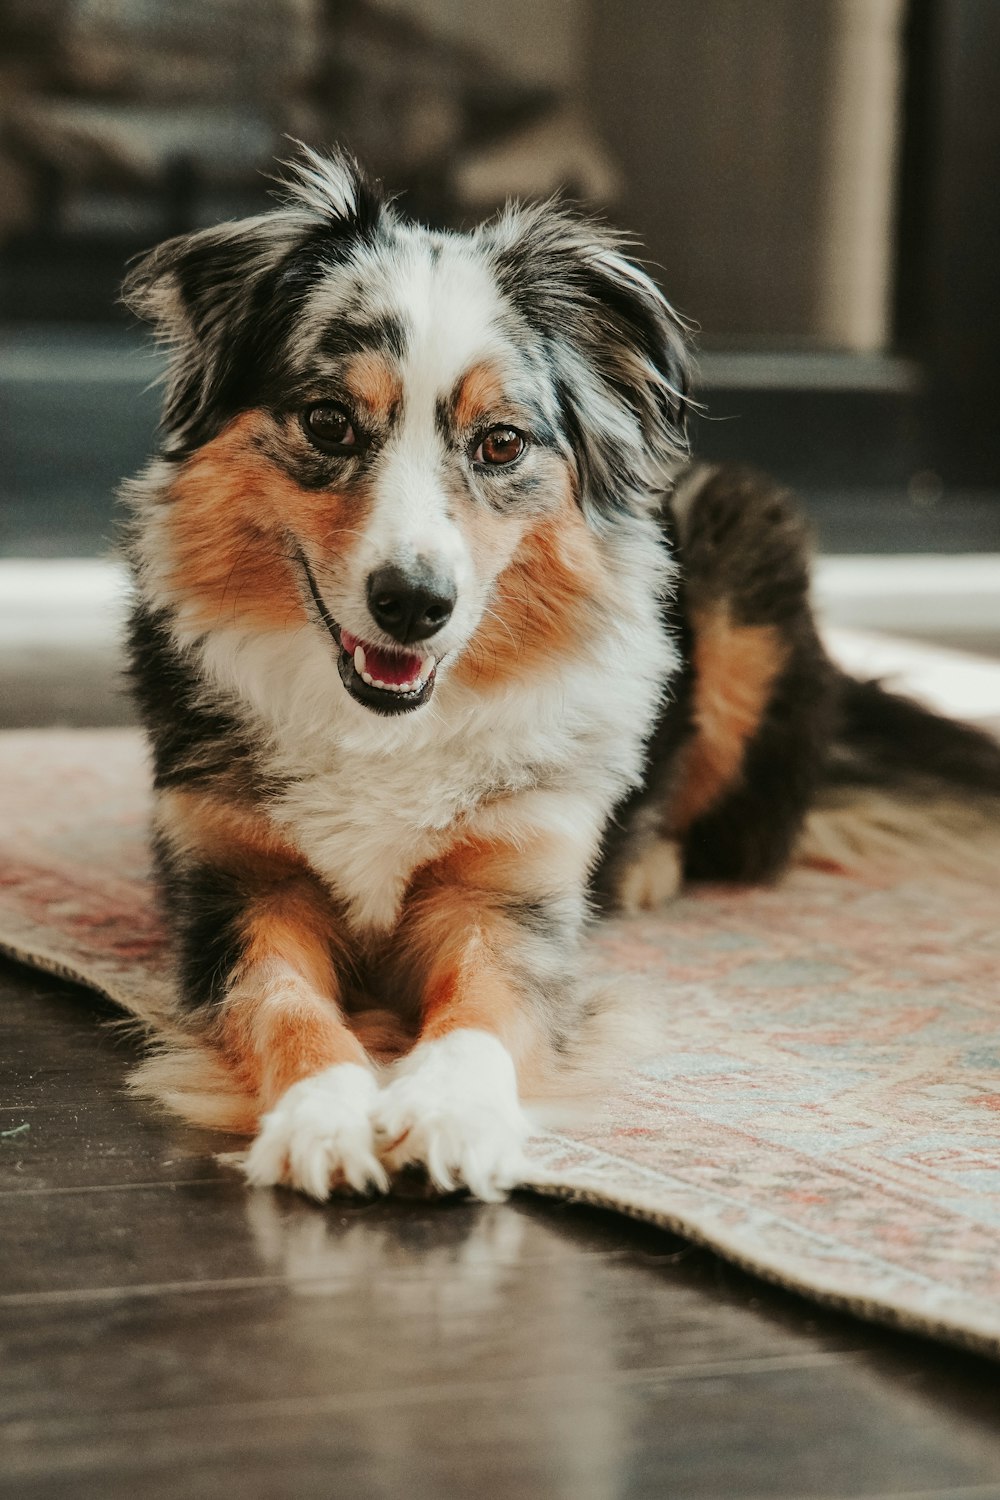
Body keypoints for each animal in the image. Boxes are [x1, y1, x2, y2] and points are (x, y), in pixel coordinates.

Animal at [122, 149, 1000, 1206]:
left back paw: (653, 860)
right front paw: (324, 1118)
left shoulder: (510, 893)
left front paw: (451, 1114)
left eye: (501, 442)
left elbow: (484, 1009)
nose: (414, 603)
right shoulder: (236, 889)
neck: (385, 726)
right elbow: (284, 1005)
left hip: (743, 538)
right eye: (328, 423)